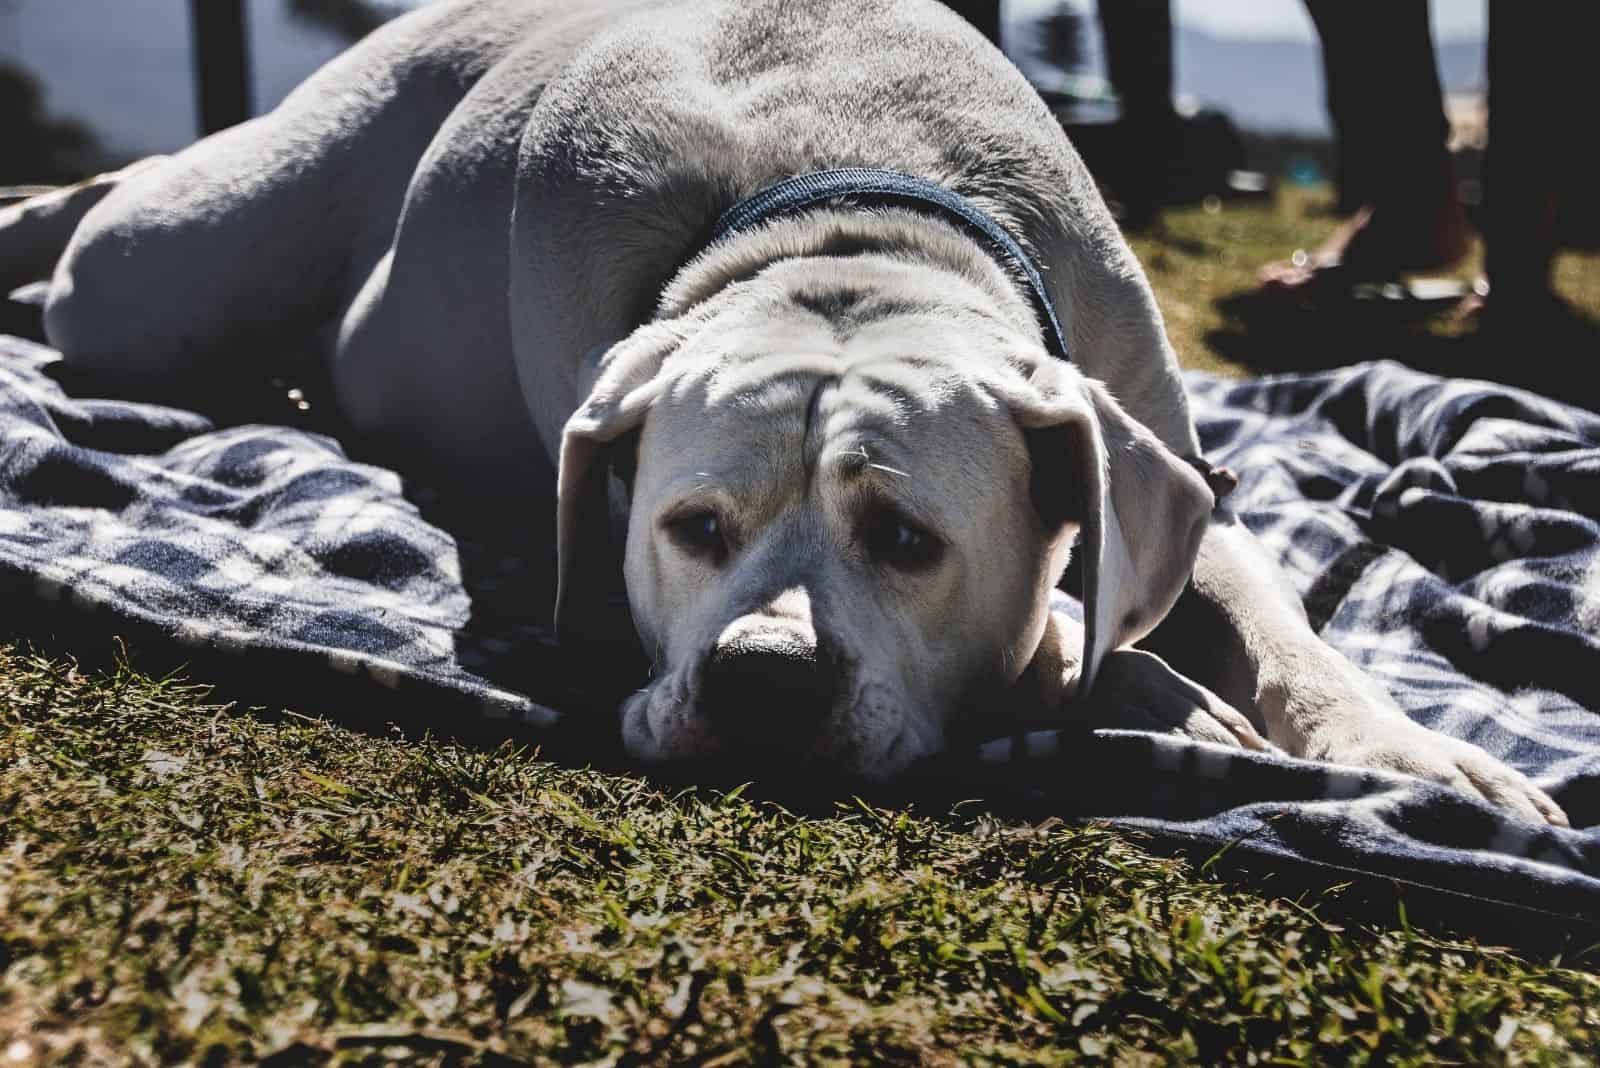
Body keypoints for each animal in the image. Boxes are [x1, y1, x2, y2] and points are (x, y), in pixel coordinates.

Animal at [0, 0, 1561, 824]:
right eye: (689, 529)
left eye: (912, 544)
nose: (758, 676)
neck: (852, 234)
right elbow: (1079, 644)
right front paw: (1138, 688)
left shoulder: (1170, 476)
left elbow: (1287, 638)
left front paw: (1414, 757)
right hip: (172, 272)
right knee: (107, 224)